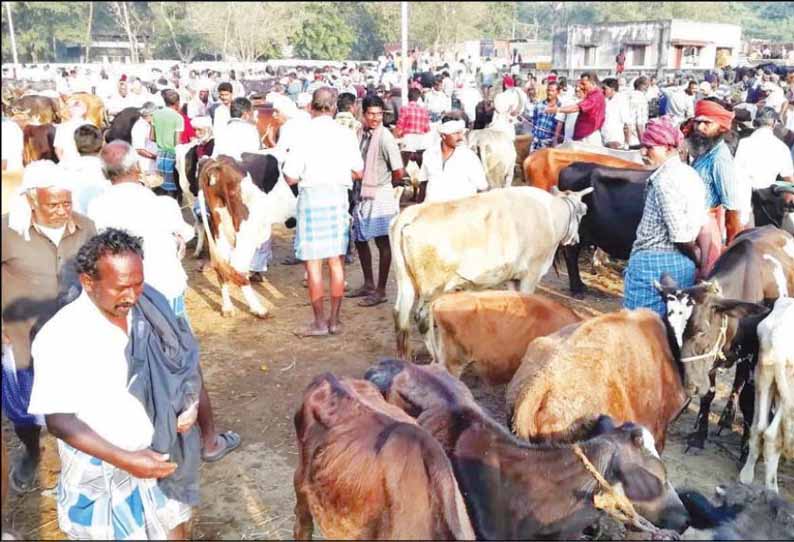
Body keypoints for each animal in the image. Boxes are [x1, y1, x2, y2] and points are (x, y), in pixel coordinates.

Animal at [388, 187, 588, 362]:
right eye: (583, 212)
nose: (577, 239)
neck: (550, 216)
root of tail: (411, 214)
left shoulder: (513, 277)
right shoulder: (531, 273)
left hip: (405, 281)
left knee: (400, 315)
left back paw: (404, 357)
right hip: (432, 287)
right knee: (421, 318)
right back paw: (436, 356)